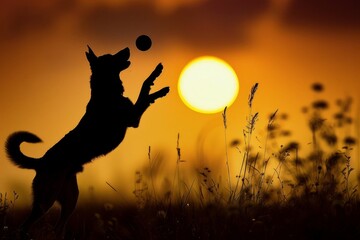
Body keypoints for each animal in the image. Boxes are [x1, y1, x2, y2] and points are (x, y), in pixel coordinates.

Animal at [5, 46, 169, 237]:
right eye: (111, 56)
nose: (128, 48)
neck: (106, 91)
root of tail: (40, 162)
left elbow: (146, 91)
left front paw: (157, 78)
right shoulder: (133, 119)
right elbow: (143, 89)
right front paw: (158, 86)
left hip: (70, 199)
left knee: (57, 228)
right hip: (46, 200)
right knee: (25, 226)